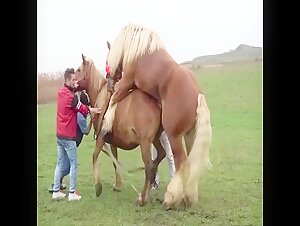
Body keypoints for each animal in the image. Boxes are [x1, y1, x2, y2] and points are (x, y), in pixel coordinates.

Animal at [74, 54, 165, 205]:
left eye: (78, 69)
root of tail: (156, 103)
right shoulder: (112, 142)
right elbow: (115, 162)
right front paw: (117, 185)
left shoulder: (101, 138)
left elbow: (94, 156)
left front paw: (98, 186)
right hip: (155, 139)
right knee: (159, 158)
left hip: (145, 142)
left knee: (148, 166)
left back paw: (142, 198)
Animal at [102, 23, 212, 209]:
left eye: (106, 61)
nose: (109, 82)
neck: (138, 49)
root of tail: (198, 96)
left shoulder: (127, 81)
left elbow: (115, 98)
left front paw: (106, 123)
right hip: (190, 136)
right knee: (190, 162)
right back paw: (188, 197)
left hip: (174, 137)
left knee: (180, 162)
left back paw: (171, 198)